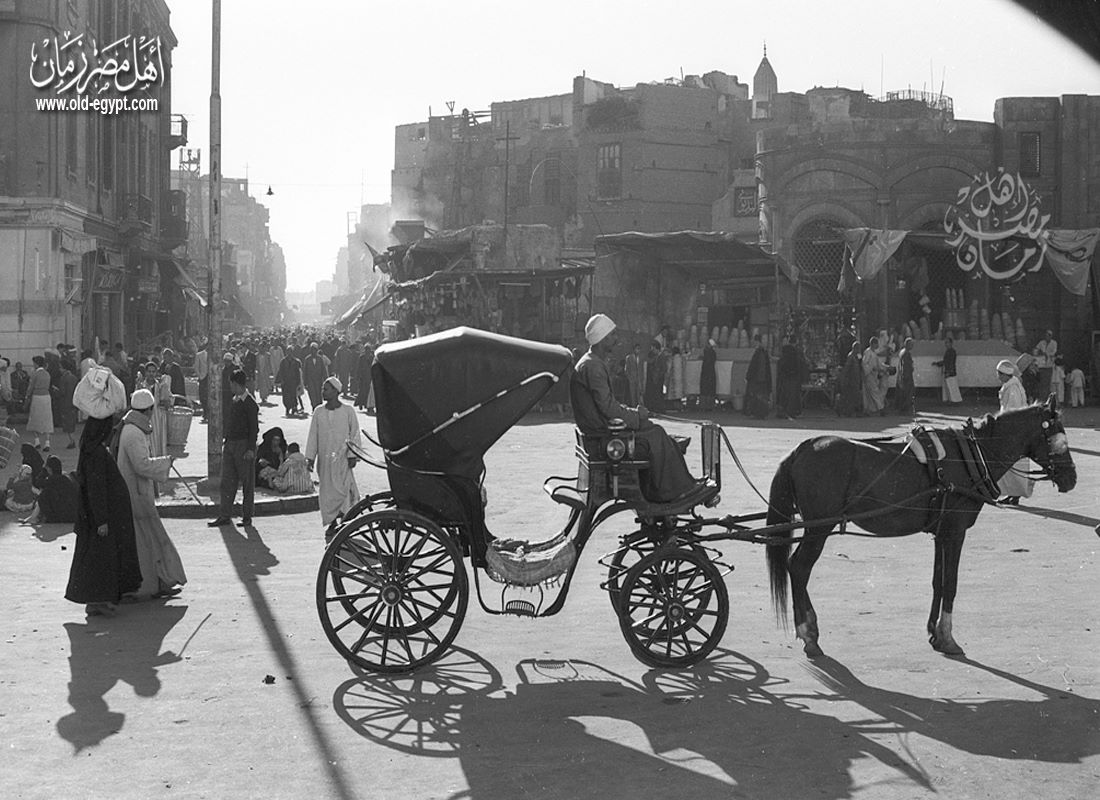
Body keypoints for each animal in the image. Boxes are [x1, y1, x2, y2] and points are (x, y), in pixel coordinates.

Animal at [765, 398, 1073, 660]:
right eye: (1058, 438)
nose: (1072, 477)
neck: (971, 456)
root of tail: (803, 447)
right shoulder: (955, 532)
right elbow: (951, 583)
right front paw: (948, 637)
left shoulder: (940, 533)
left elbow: (938, 581)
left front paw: (934, 633)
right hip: (819, 528)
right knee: (799, 568)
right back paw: (809, 633)